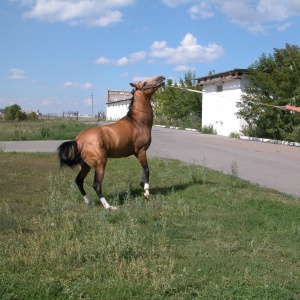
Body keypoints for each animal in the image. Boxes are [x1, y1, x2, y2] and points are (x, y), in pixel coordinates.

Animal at [57, 75, 165, 209]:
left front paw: (142, 185)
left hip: (86, 165)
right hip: (100, 164)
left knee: (79, 181)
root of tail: (78, 140)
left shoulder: (138, 153)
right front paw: (146, 193)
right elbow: (147, 170)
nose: (161, 78)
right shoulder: (141, 151)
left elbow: (143, 171)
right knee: (96, 185)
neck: (137, 122)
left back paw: (89, 202)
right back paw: (109, 207)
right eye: (145, 83)